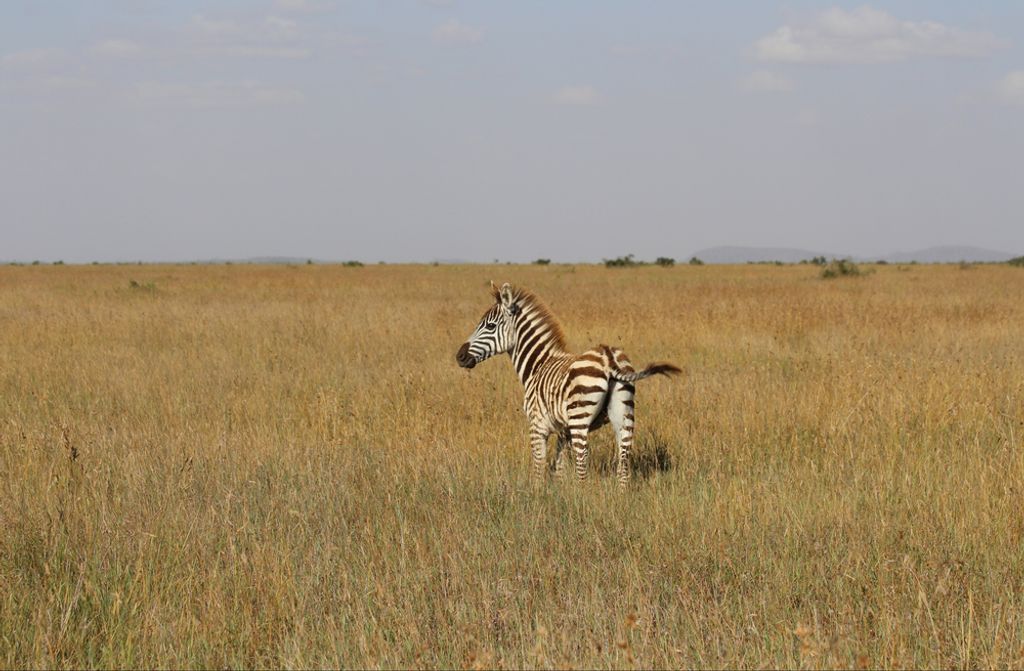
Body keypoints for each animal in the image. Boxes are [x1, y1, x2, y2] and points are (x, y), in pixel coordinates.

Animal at [456, 282, 681, 484]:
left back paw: (582, 497)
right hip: (624, 413)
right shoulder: (563, 431)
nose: (459, 356)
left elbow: (539, 465)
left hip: (580, 417)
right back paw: (620, 496)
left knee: (583, 460)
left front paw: (537, 496)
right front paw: (559, 494)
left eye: (490, 326)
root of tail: (609, 357)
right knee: (623, 457)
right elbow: (559, 468)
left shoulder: (537, 425)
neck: (538, 365)